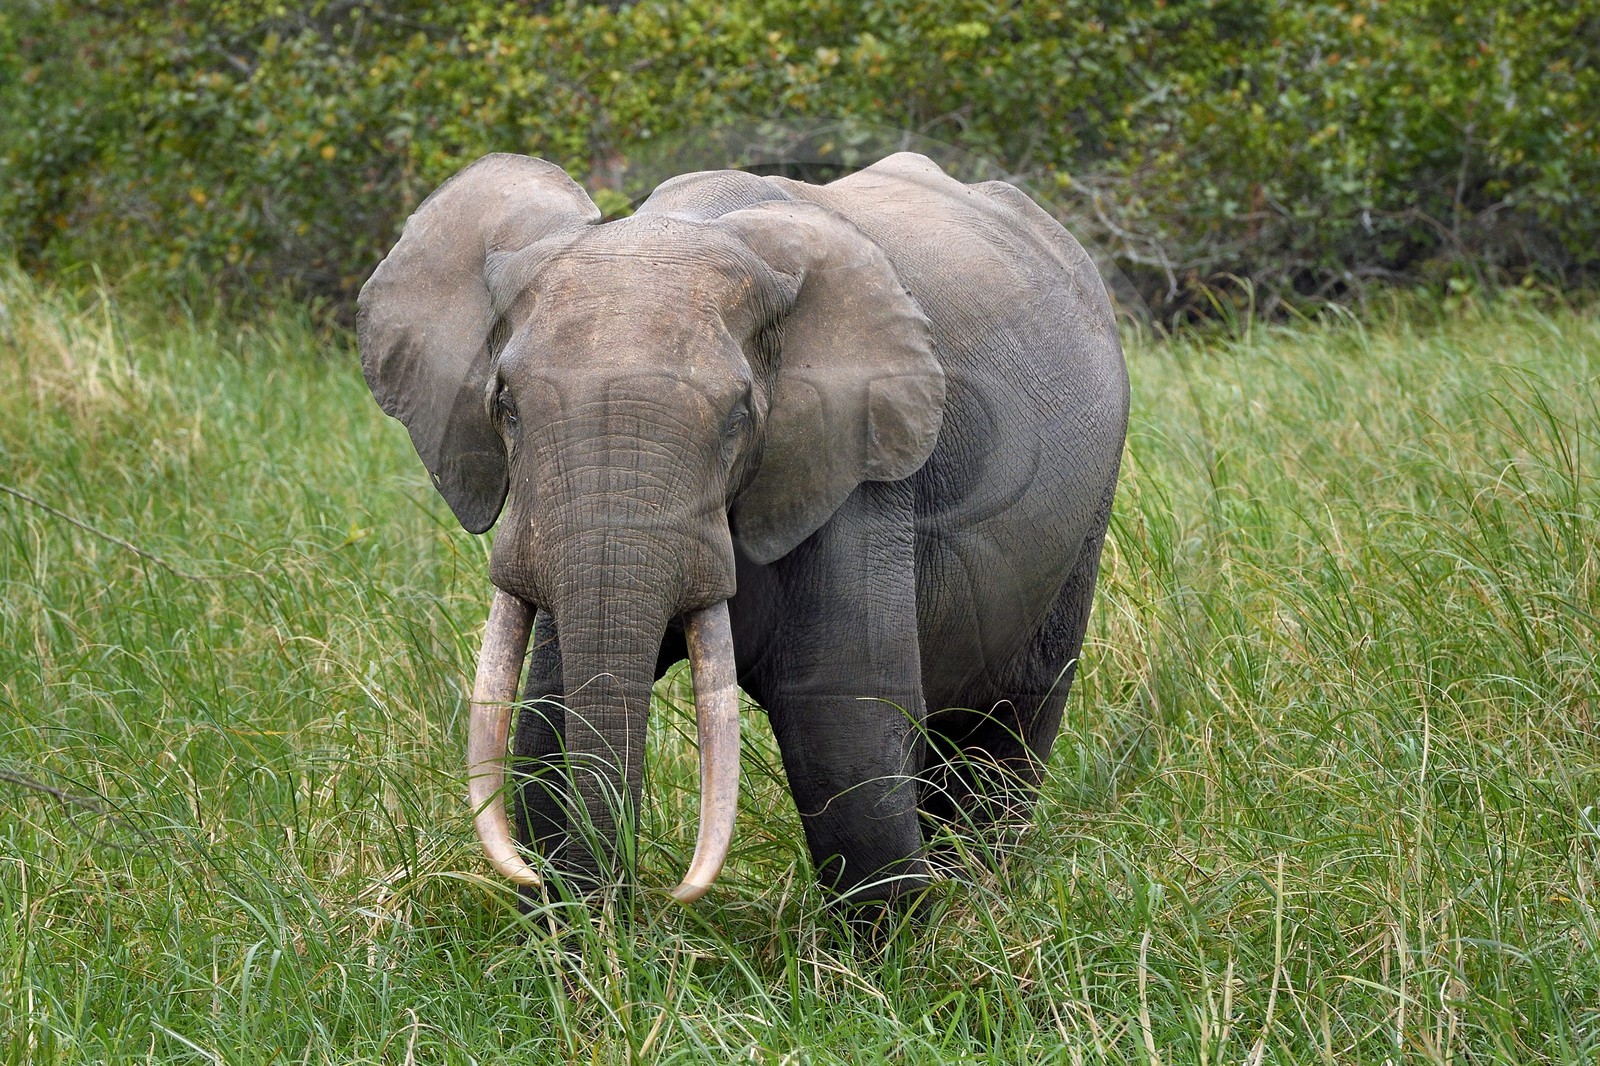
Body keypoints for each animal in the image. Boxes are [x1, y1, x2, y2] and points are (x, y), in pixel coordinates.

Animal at [356, 151, 1128, 907]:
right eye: (506, 406)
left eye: (736, 419)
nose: (654, 902)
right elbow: (548, 720)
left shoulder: (856, 471)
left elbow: (841, 721)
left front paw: (905, 950)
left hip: (1087, 513)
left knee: (1012, 721)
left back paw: (980, 901)